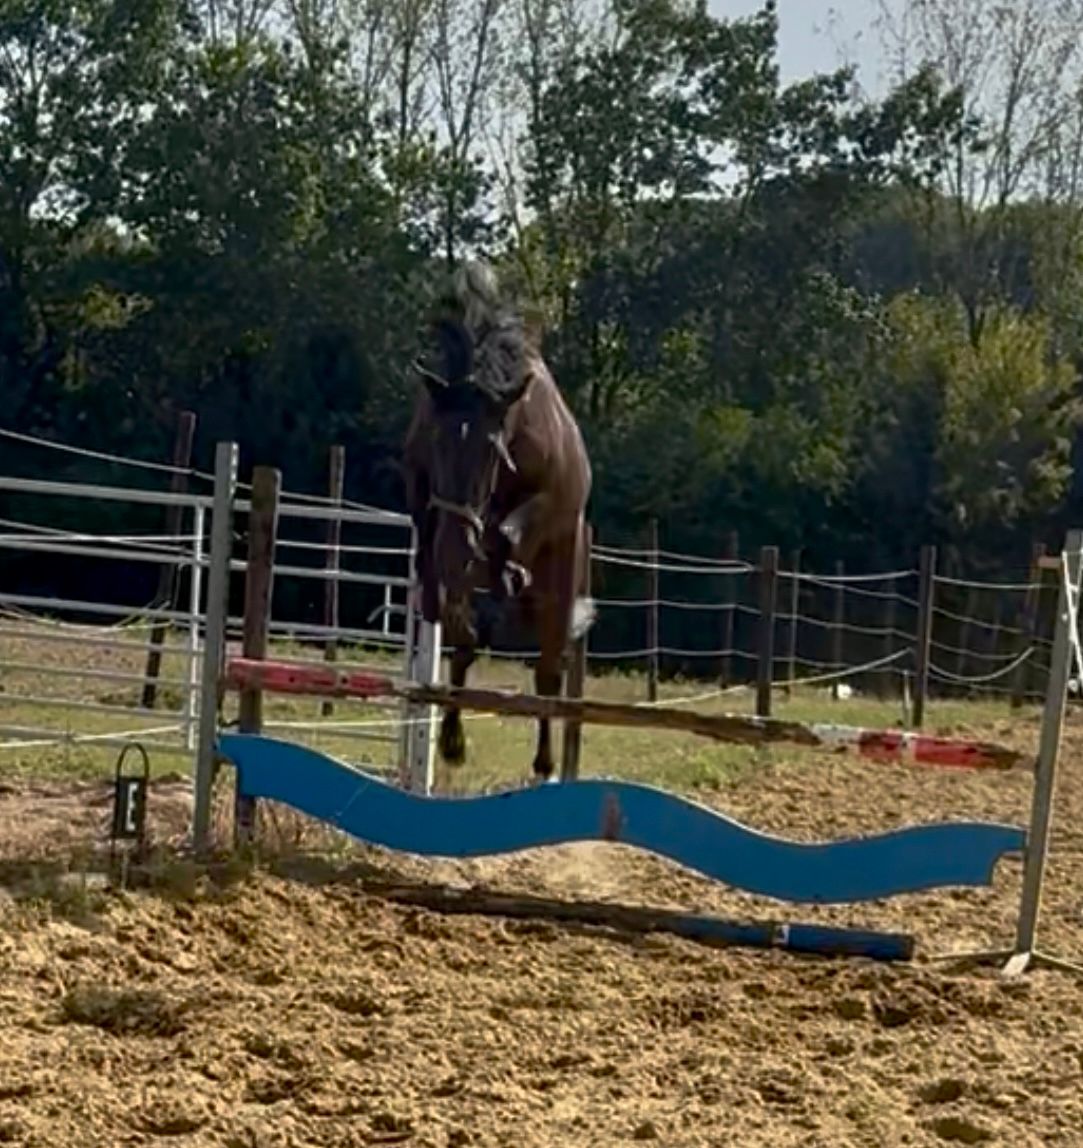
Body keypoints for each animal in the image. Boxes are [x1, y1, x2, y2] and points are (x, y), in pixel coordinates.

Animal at [402, 261, 594, 781]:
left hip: (563, 573)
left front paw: (506, 569)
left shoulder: (555, 499)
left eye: (491, 449)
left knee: (548, 671)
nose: (457, 551)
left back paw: (545, 763)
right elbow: (451, 610)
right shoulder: (425, 492)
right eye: (437, 438)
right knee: (468, 640)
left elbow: (512, 529)